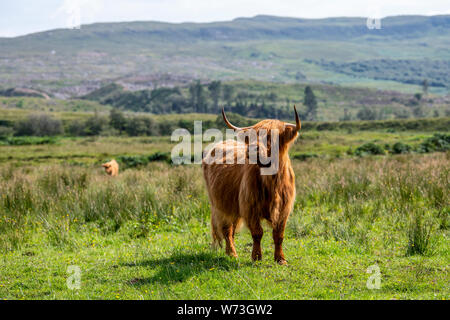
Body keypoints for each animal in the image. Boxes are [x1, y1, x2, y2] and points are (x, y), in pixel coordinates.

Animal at [202, 106, 300, 264]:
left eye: (271, 137)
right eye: (252, 137)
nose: (253, 149)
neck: (271, 181)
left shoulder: (284, 208)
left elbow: (278, 234)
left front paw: (280, 259)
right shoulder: (250, 207)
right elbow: (257, 233)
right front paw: (257, 257)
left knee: (232, 229)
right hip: (220, 205)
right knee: (226, 229)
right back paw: (232, 254)